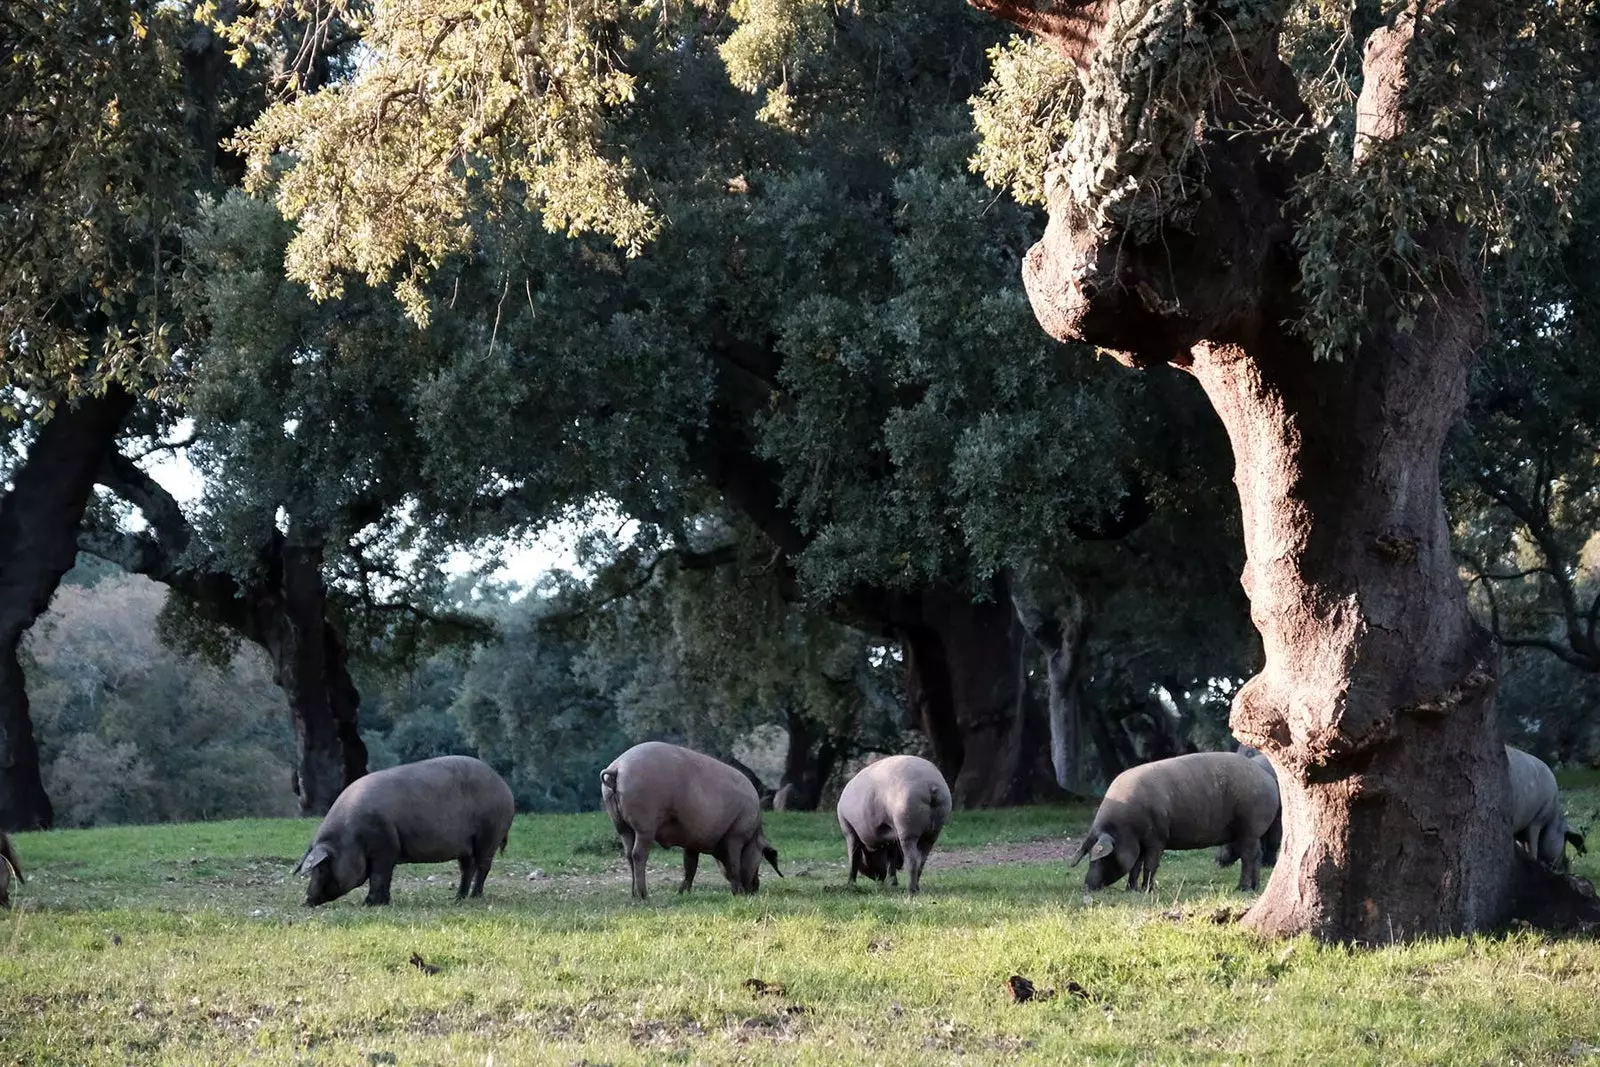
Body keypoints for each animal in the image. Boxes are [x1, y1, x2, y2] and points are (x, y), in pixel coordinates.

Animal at [291, 751, 508, 908]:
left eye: (322, 867)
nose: (305, 901)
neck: (351, 837)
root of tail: (503, 785)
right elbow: (384, 879)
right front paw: (384, 903)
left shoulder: (385, 848)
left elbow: (379, 877)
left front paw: (369, 904)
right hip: (466, 845)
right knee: (467, 868)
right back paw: (457, 898)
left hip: (489, 834)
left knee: (483, 867)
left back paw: (474, 897)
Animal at [601, 742, 780, 902]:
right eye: (760, 858)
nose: (755, 888)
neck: (753, 835)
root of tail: (618, 768)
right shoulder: (736, 835)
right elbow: (734, 864)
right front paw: (739, 894)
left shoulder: (693, 842)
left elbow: (690, 867)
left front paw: (681, 894)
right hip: (645, 827)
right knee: (638, 854)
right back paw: (644, 896)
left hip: (621, 826)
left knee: (628, 854)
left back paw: (634, 895)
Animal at [838, 755, 947, 895]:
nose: (878, 878)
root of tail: (931, 785)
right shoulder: (891, 835)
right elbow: (891, 857)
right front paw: (892, 883)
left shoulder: (849, 829)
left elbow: (853, 857)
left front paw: (850, 885)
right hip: (933, 832)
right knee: (922, 860)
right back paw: (917, 888)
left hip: (907, 827)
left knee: (912, 860)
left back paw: (911, 890)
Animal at [1068, 751, 1280, 895]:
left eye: (1101, 857)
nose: (1087, 886)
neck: (1125, 827)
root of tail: (1268, 779)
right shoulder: (1140, 842)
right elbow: (1135, 865)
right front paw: (1130, 890)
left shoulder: (1157, 837)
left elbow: (1150, 865)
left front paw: (1146, 891)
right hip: (1252, 832)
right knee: (1257, 855)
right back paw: (1254, 887)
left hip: (1250, 827)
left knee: (1249, 857)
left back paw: (1242, 888)